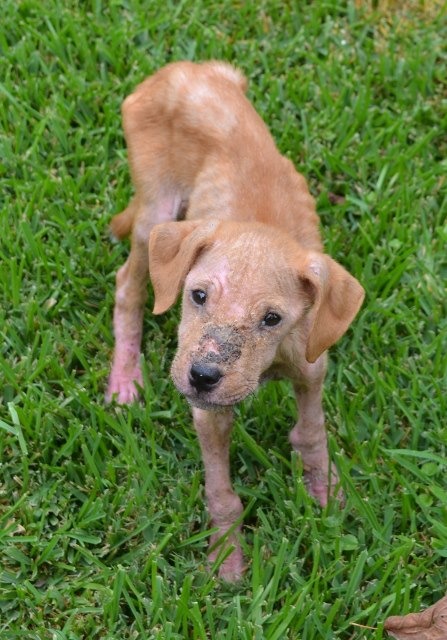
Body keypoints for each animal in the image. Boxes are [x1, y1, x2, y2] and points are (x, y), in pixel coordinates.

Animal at [107, 62, 366, 584]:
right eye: (198, 295)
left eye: (272, 318)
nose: (202, 377)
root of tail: (183, 69)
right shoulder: (208, 412)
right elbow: (221, 494)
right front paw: (226, 558)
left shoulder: (312, 364)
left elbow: (312, 432)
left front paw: (324, 491)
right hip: (155, 213)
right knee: (129, 285)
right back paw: (125, 375)